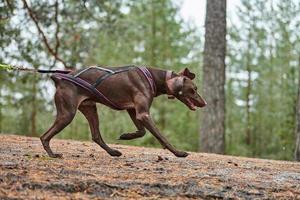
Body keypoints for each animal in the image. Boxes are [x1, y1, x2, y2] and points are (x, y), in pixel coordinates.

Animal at [39, 65, 206, 158]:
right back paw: (52, 155)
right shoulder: (143, 114)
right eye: (194, 89)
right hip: (67, 113)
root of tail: (59, 78)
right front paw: (178, 153)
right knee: (44, 136)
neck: (153, 77)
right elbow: (161, 136)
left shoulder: (132, 110)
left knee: (96, 136)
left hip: (90, 109)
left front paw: (126, 136)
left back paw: (113, 152)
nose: (205, 103)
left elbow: (141, 132)